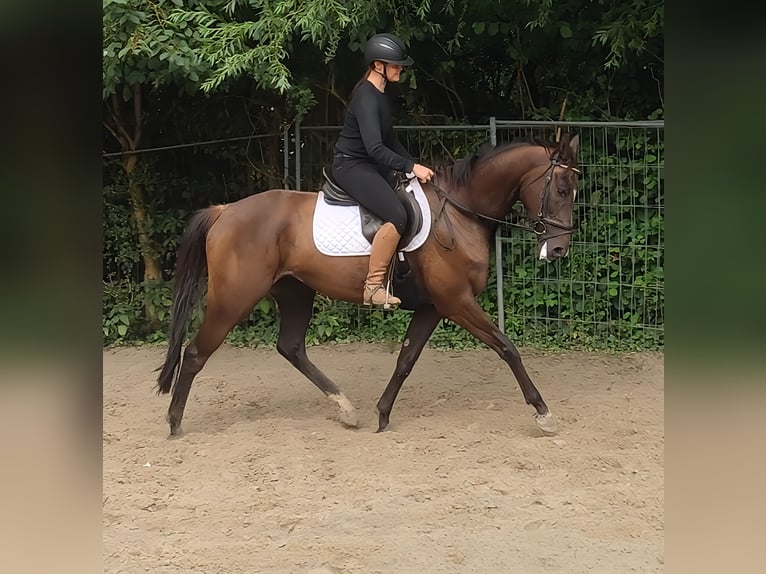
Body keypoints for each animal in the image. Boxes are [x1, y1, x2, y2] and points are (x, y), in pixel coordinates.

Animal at [156, 133, 580, 436]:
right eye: (562, 190)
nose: (559, 249)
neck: (460, 213)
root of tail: (225, 211)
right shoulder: (456, 302)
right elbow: (507, 348)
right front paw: (543, 412)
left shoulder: (433, 307)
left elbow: (406, 359)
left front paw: (382, 413)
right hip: (234, 299)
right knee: (195, 353)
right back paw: (175, 423)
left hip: (295, 292)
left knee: (291, 347)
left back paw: (346, 409)